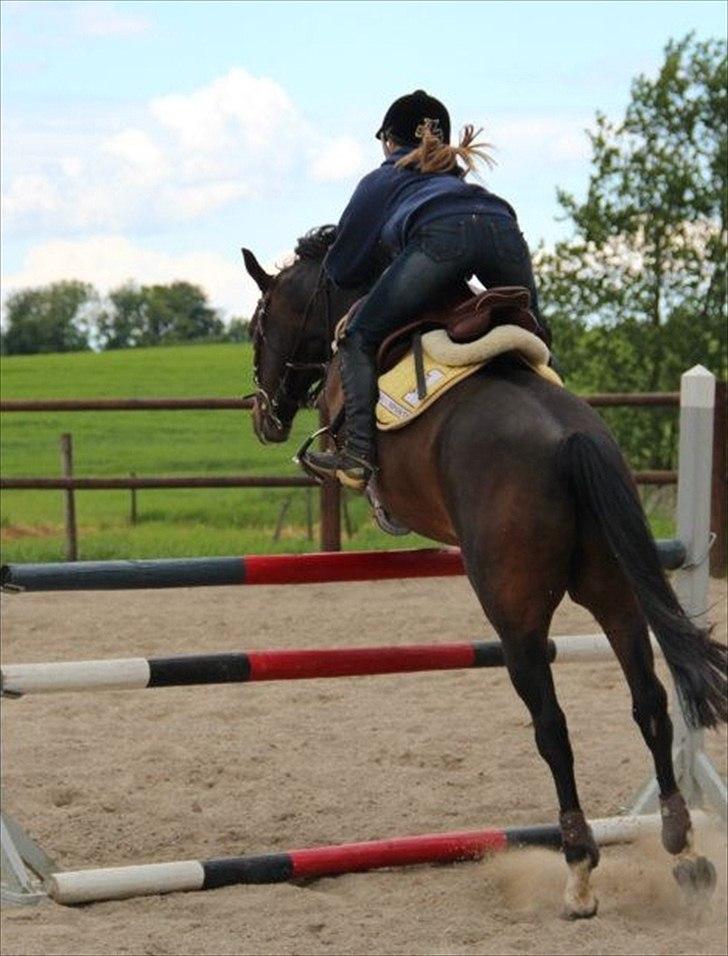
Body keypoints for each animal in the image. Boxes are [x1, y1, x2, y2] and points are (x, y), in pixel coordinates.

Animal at [241, 225, 726, 918]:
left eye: (259, 325)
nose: (262, 416)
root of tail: (572, 437)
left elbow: (345, 461)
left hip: (514, 614)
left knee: (552, 725)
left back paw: (579, 871)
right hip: (615, 594)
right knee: (651, 703)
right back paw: (683, 851)